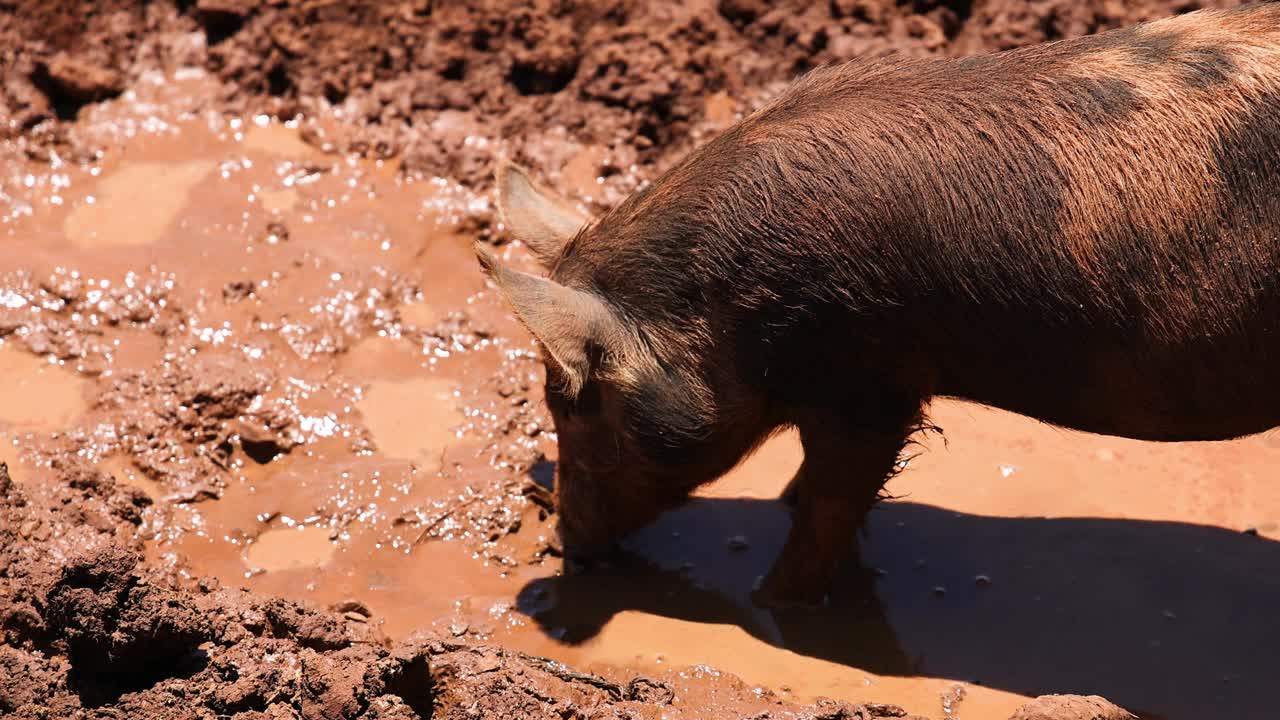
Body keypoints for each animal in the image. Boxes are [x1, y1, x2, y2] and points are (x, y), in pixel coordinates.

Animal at [476, 5, 1280, 607]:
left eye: (572, 403)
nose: (568, 547)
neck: (731, 307)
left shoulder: (869, 381)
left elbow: (830, 507)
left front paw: (770, 606)